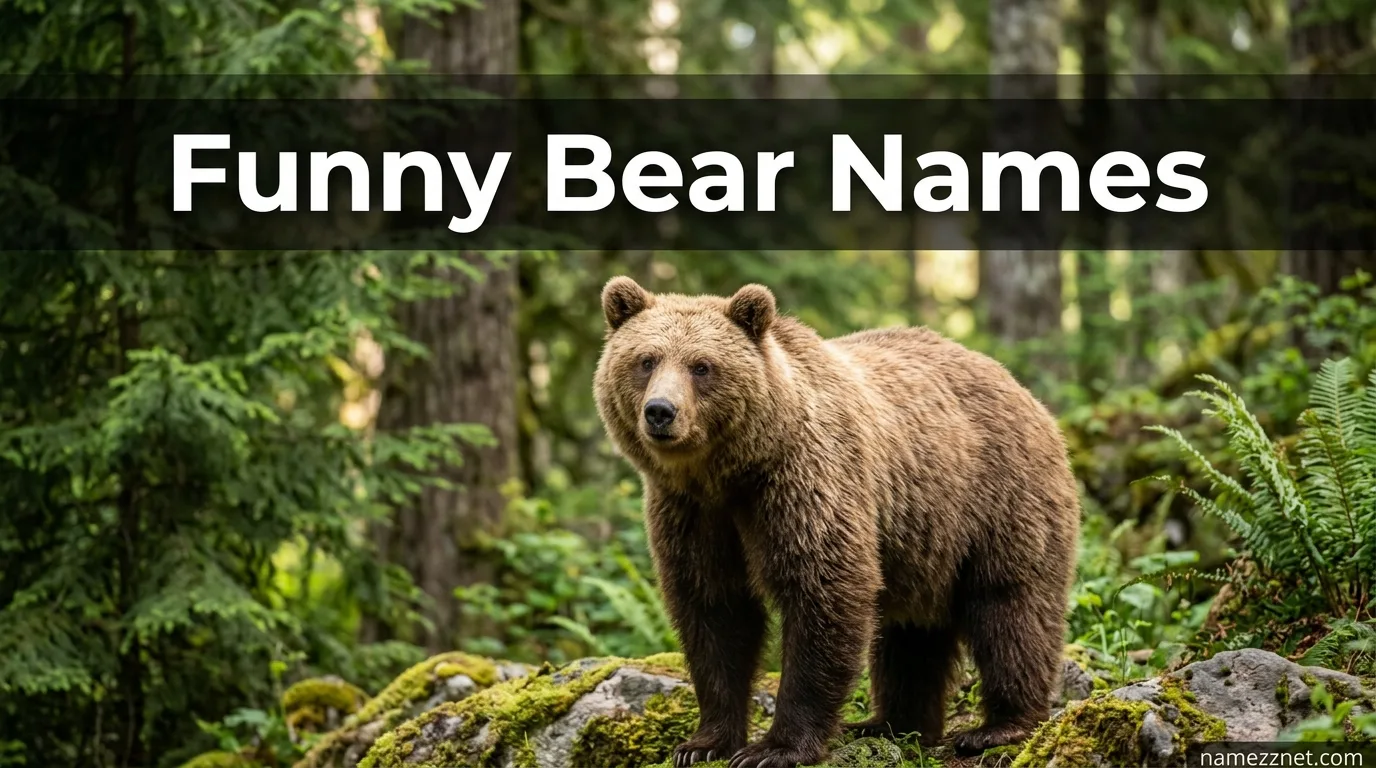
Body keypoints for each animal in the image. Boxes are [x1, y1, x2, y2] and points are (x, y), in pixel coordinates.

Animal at [592, 277, 1080, 768]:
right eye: (646, 359)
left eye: (702, 366)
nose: (660, 411)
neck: (730, 473)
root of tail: (1020, 387)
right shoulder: (692, 514)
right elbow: (714, 610)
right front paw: (703, 743)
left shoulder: (805, 484)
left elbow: (823, 592)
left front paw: (775, 748)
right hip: (922, 540)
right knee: (910, 636)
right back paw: (890, 723)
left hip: (996, 499)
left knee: (1011, 609)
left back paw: (998, 727)